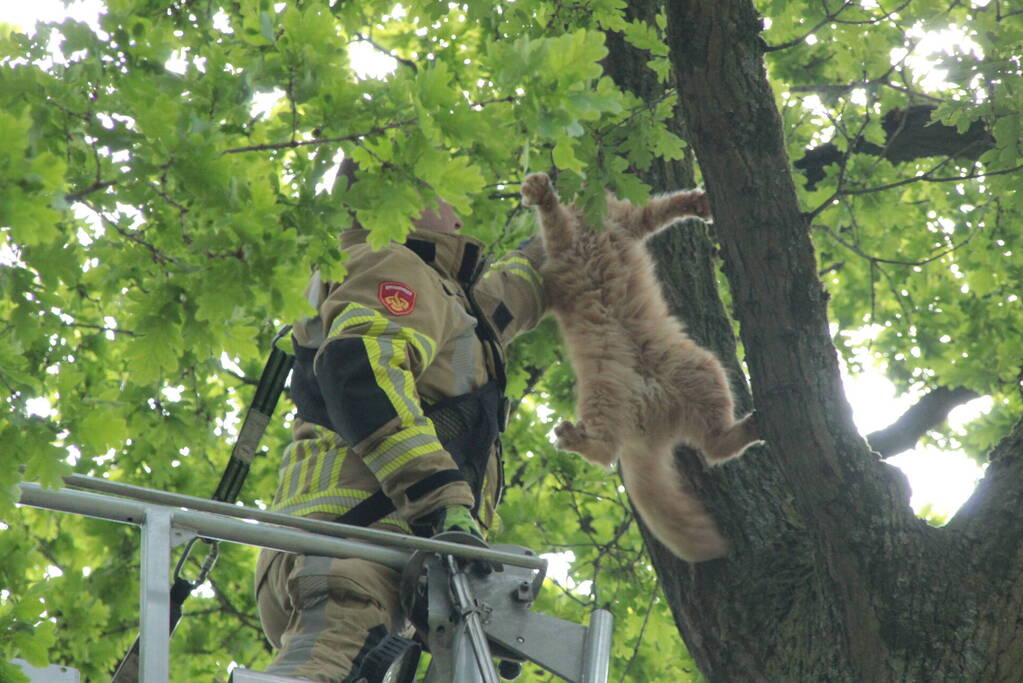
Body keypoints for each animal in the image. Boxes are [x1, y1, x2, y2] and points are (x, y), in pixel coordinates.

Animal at [527, 170, 761, 560]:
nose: (577, 185)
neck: (591, 222)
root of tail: (651, 412)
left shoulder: (630, 220)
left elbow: (664, 208)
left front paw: (696, 203)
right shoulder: (566, 243)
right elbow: (554, 218)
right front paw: (542, 193)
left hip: (701, 371)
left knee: (712, 445)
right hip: (606, 387)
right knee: (610, 452)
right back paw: (578, 439)